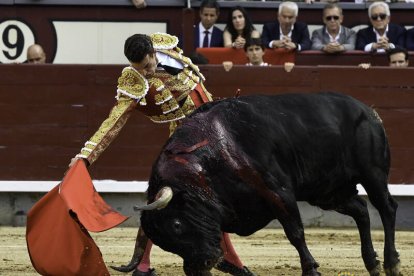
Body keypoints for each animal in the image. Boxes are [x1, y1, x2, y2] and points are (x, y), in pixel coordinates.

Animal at [137, 92, 402, 276]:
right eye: (163, 243)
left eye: (177, 224)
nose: (197, 268)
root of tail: (369, 111)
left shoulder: (278, 192)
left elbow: (295, 233)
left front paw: (311, 269)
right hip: (329, 192)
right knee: (361, 210)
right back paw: (372, 263)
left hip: (373, 174)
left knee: (387, 208)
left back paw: (392, 264)